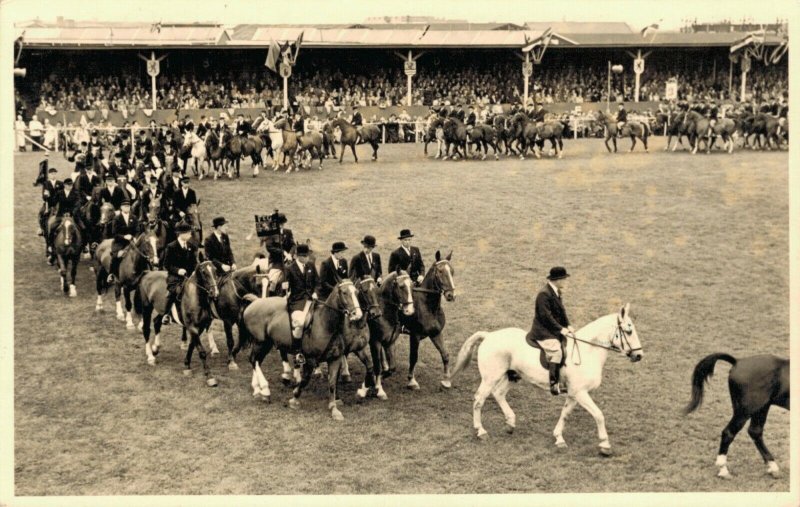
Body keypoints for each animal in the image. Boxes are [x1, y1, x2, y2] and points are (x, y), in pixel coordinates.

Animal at [238, 278, 362, 420]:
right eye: (344, 292)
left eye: (356, 292)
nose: (357, 314)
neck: (325, 323)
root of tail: (255, 302)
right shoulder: (310, 360)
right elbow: (304, 380)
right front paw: (294, 399)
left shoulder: (335, 359)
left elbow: (332, 384)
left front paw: (334, 409)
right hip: (260, 342)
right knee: (254, 360)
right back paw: (265, 390)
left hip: (266, 343)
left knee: (255, 360)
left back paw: (257, 390)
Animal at [450, 304, 644, 454]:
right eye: (629, 331)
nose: (639, 355)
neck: (587, 351)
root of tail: (489, 335)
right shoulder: (581, 393)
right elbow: (598, 415)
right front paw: (605, 445)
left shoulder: (574, 394)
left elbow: (565, 414)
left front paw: (559, 438)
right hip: (490, 378)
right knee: (479, 400)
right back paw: (481, 431)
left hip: (512, 375)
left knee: (498, 394)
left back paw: (510, 423)